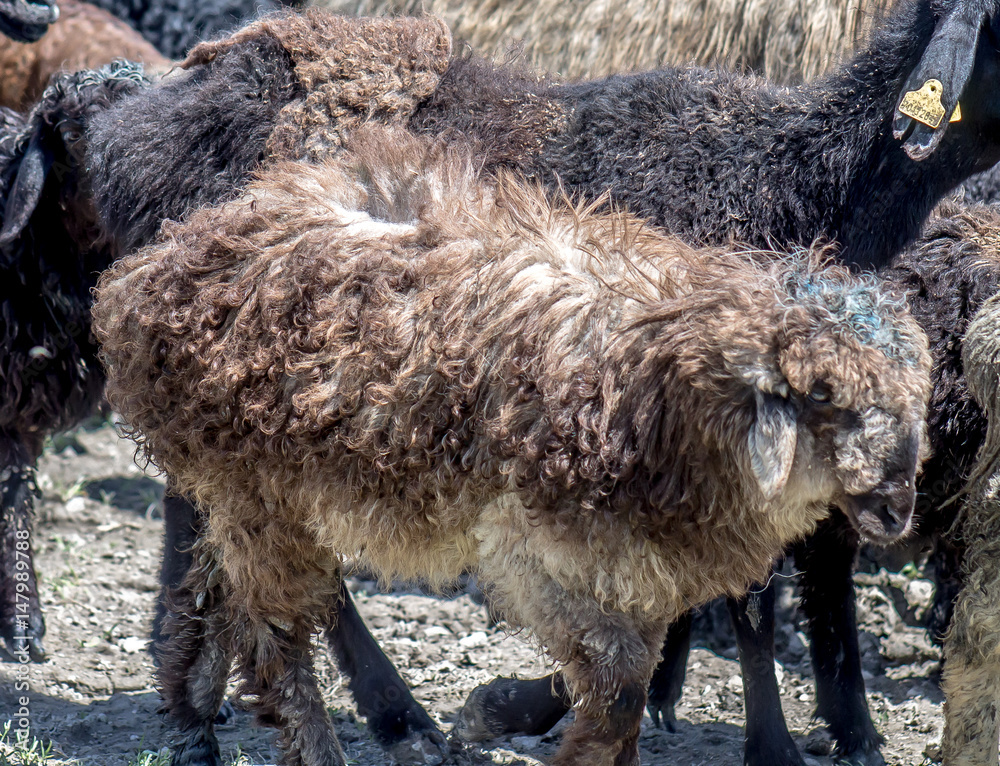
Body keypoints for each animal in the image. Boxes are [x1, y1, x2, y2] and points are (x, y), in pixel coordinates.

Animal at [93, 122, 933, 766]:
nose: (900, 504)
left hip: (247, 491)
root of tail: (151, 268)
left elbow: (633, 673)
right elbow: (620, 682)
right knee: (274, 638)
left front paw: (511, 717)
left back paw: (193, 717)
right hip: (259, 487)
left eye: (913, 387)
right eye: (824, 397)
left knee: (215, 587)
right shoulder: (530, 545)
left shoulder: (637, 564)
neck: (662, 386)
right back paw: (309, 743)